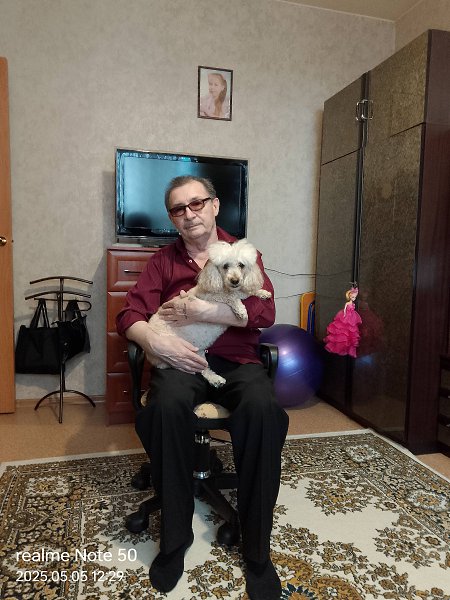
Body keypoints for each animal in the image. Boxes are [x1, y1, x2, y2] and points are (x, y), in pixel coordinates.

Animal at [146, 238, 272, 387]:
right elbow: (232, 297)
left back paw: (215, 379)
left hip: (198, 352)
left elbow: (246, 292)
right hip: (176, 351)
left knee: (203, 368)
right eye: (225, 266)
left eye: (241, 265)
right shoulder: (213, 296)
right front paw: (241, 310)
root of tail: (149, 355)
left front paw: (262, 293)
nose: (235, 281)